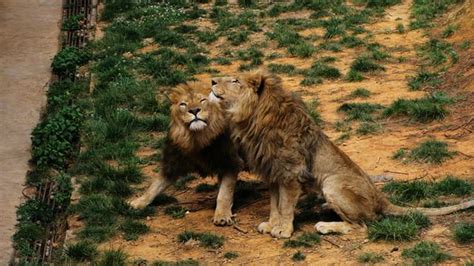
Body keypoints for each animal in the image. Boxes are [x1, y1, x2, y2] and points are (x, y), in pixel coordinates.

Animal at [129, 80, 243, 224]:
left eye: (202, 100)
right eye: (183, 104)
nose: (194, 110)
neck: (197, 138)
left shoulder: (230, 162)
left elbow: (224, 193)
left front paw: (222, 215)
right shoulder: (172, 163)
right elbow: (154, 186)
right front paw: (138, 202)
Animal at [211, 71, 474, 239]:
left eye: (235, 80)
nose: (212, 80)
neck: (253, 119)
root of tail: (381, 198)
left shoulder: (291, 174)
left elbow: (285, 206)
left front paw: (283, 231)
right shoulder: (274, 172)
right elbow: (275, 205)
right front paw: (271, 225)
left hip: (333, 184)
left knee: (363, 225)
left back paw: (325, 226)